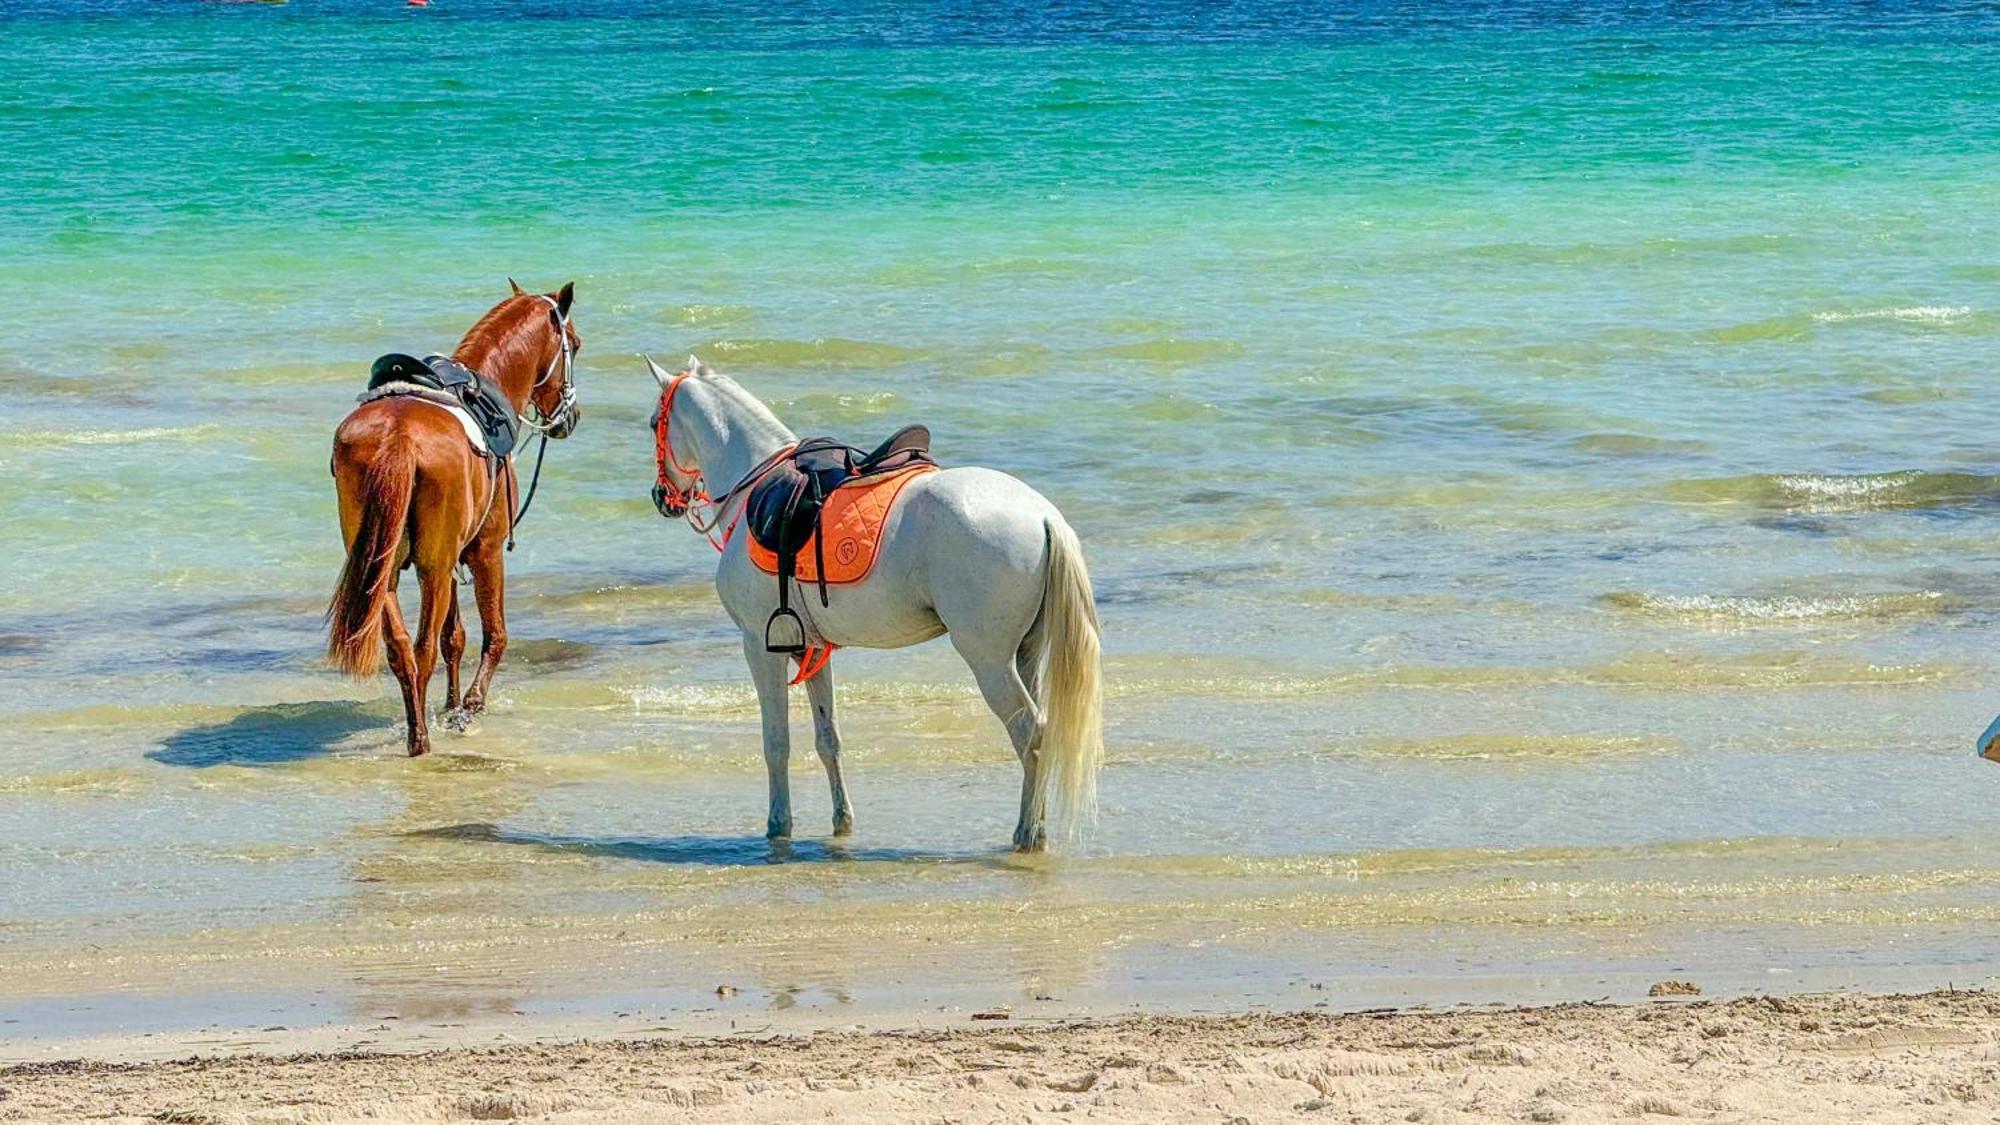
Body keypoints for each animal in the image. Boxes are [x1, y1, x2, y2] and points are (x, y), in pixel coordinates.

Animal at [324, 278, 584, 752]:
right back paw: (421, 742)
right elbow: (493, 635)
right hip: (432, 565)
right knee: (422, 649)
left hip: (383, 570)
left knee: (403, 650)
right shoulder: (485, 550)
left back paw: (418, 732)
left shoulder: (449, 561)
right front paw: (469, 706)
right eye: (574, 343)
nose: (568, 418)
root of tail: (399, 435)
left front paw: (450, 707)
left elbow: (455, 638)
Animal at [644, 354, 1104, 844]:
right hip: (1027, 652)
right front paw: (841, 820)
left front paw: (778, 826)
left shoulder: (760, 648)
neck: (755, 485)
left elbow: (776, 743)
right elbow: (828, 740)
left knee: (1028, 730)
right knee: (1042, 732)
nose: (661, 498)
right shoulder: (811, 651)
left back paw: (1026, 833)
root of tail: (1042, 516)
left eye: (654, 422)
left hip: (990, 661)